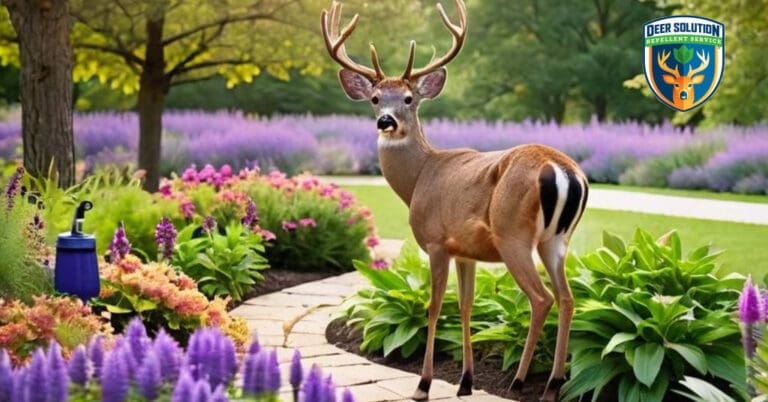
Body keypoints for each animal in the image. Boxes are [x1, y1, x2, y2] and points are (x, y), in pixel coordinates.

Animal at [321, 1, 588, 401]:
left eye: (409, 99)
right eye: (375, 98)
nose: (386, 122)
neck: (418, 179)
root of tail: (563, 169)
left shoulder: (436, 241)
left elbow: (434, 307)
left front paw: (424, 384)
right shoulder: (466, 251)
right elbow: (465, 307)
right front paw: (465, 381)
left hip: (513, 234)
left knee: (542, 299)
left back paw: (520, 380)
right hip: (556, 240)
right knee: (568, 299)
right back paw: (553, 385)